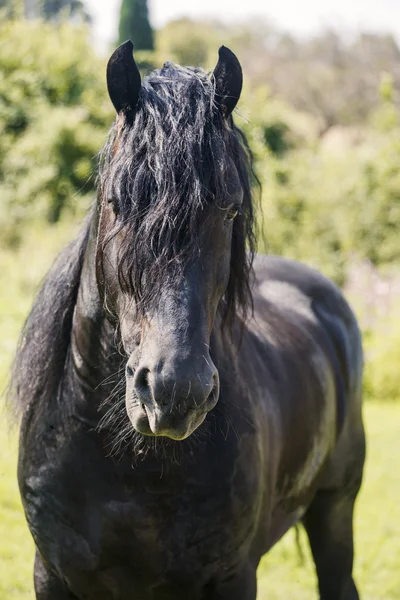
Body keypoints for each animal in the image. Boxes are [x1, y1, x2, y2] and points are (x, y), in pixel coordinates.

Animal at [10, 43, 366, 600]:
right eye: (116, 201)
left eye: (230, 210)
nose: (175, 392)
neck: (131, 470)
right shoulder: (51, 574)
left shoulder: (232, 576)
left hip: (335, 510)